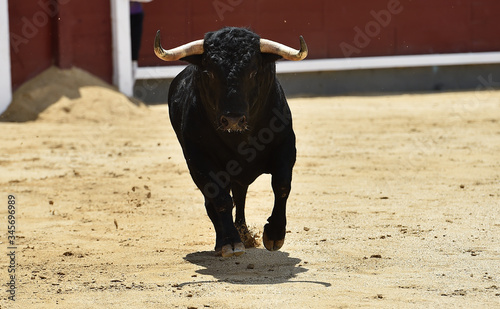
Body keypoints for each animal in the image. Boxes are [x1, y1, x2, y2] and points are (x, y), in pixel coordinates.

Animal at [154, 27, 306, 258]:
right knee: (215, 202)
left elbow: (281, 186)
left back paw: (245, 234)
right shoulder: (199, 159)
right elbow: (220, 199)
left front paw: (274, 235)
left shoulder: (286, 146)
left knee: (240, 198)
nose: (233, 119)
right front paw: (231, 242)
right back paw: (227, 240)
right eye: (209, 73)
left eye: (253, 72)